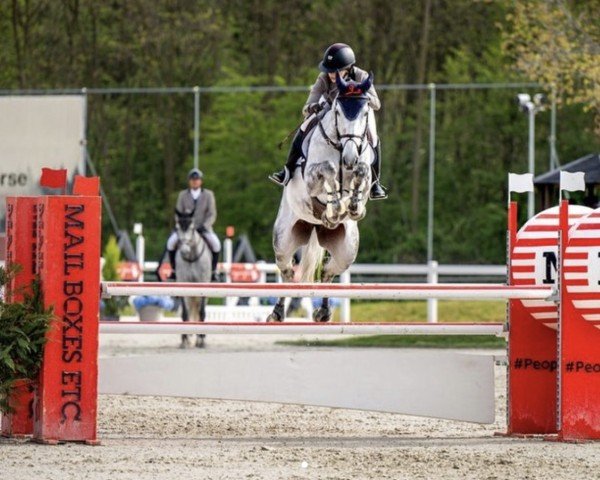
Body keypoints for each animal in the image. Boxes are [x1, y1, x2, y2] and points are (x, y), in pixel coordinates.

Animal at [175, 208, 212, 346]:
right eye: (177, 228)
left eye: (191, 228)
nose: (184, 251)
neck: (191, 257)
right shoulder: (183, 284)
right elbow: (185, 313)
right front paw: (185, 339)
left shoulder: (204, 284)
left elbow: (201, 312)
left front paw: (201, 339)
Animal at [268, 73, 376, 322]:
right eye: (338, 111)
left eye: (365, 112)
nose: (350, 157)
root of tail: (315, 228)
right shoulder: (311, 177)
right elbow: (328, 169)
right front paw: (335, 206)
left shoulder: (365, 175)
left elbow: (362, 174)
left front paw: (352, 207)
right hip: (283, 240)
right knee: (288, 273)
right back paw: (277, 313)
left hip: (347, 250)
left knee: (327, 273)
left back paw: (323, 312)